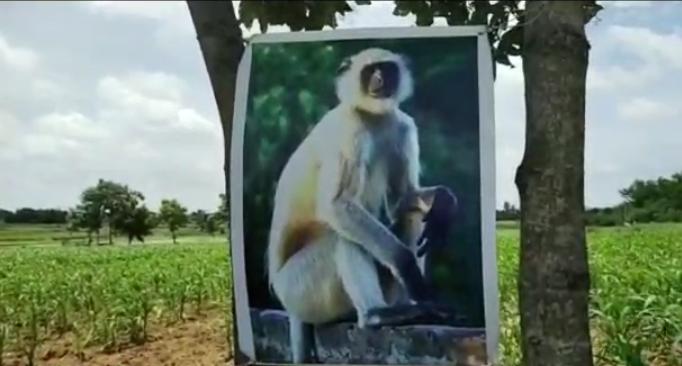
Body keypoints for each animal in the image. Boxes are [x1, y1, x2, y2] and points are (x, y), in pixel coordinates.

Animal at [266, 47, 456, 362]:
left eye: (386, 69)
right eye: (370, 72)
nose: (379, 80)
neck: (372, 116)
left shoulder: (401, 126)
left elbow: (401, 200)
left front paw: (443, 200)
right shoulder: (350, 128)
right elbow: (336, 206)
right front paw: (408, 267)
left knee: (412, 214)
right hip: (300, 290)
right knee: (341, 236)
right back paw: (376, 315)